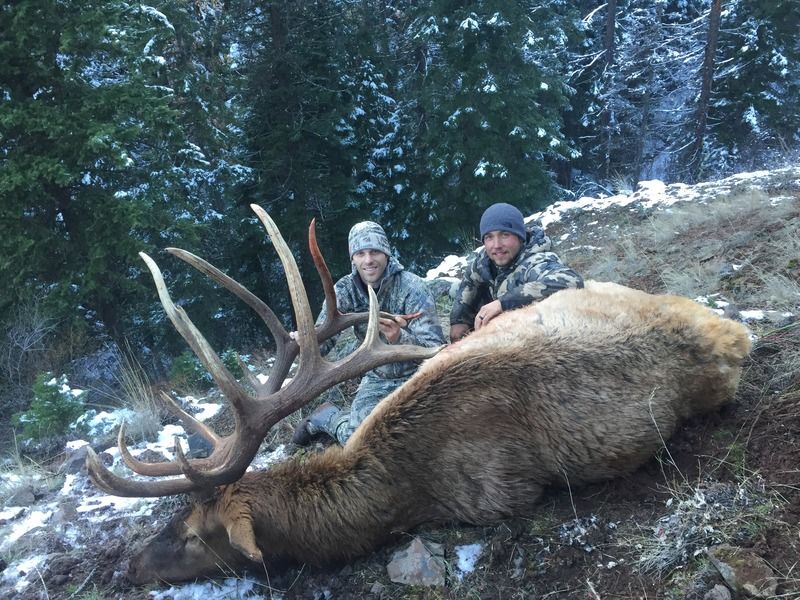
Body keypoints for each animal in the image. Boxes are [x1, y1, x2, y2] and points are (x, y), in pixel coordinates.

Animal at [86, 205, 752, 585]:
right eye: (174, 517)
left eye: (194, 535)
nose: (131, 566)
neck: (398, 488)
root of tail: (735, 332)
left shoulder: (498, 497)